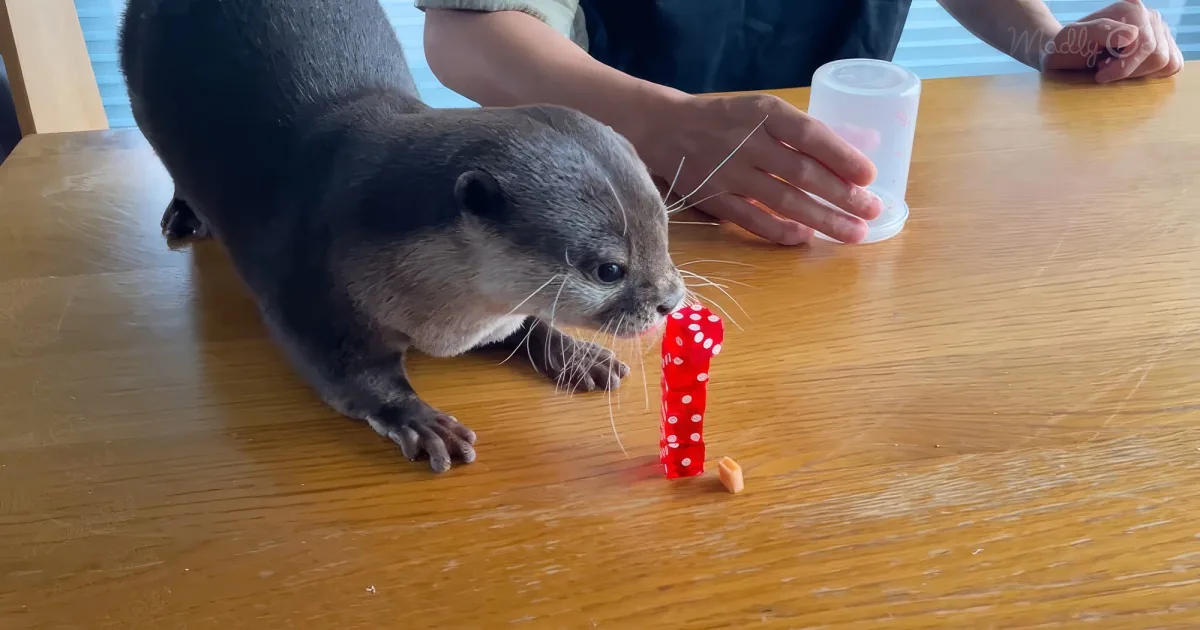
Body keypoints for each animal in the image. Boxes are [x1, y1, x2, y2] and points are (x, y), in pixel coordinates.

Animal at [117, 0, 686, 472]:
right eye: (608, 269)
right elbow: (348, 373)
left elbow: (524, 324)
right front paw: (418, 419)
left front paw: (574, 354)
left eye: (663, 233)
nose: (671, 300)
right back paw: (182, 215)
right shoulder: (308, 291)